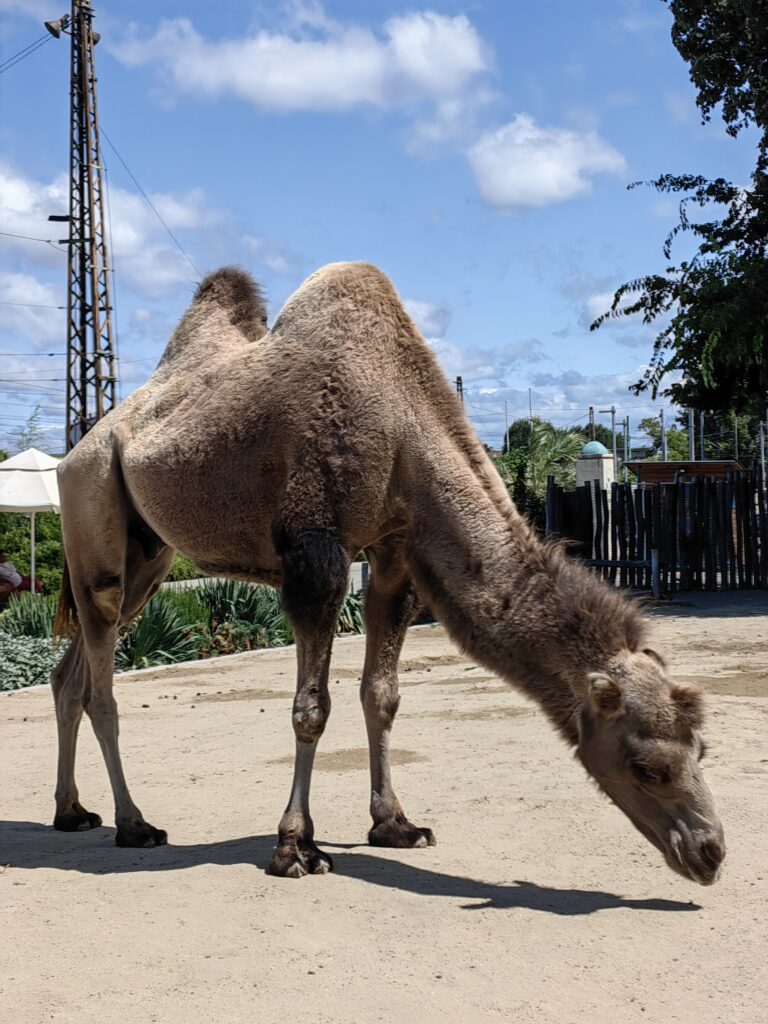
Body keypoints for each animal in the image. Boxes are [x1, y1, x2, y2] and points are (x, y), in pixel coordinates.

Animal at [52, 260, 729, 884]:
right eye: (647, 766)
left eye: (702, 748)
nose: (710, 853)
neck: (403, 429)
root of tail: (80, 445)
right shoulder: (317, 553)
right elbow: (311, 708)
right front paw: (295, 847)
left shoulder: (395, 559)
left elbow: (382, 695)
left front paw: (395, 824)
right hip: (93, 504)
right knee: (102, 681)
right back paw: (134, 824)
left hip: (150, 557)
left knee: (71, 675)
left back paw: (71, 813)